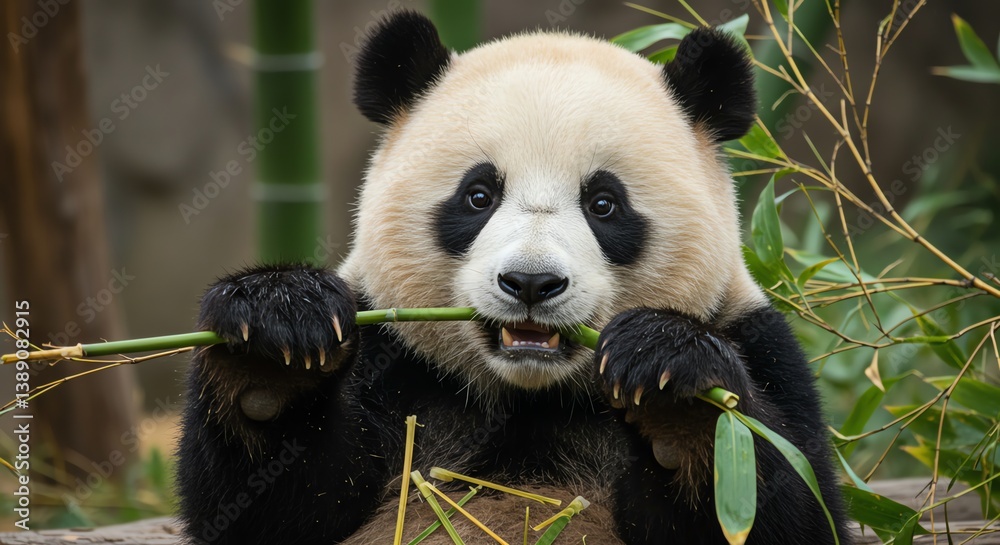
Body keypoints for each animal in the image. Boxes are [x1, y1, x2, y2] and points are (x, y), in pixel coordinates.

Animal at [177, 10, 850, 545]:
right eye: (478, 195)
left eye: (604, 204)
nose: (530, 283)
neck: (528, 396)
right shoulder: (391, 361)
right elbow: (270, 510)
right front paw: (274, 341)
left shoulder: (758, 343)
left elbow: (781, 504)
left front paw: (672, 378)